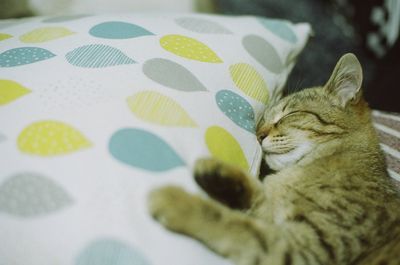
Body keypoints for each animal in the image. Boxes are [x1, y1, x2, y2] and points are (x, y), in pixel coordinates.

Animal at [147, 53, 400, 264]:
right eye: (262, 120)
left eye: (289, 114)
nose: (258, 135)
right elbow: (258, 197)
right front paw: (218, 173)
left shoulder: (309, 247)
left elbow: (238, 226)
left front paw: (179, 202)